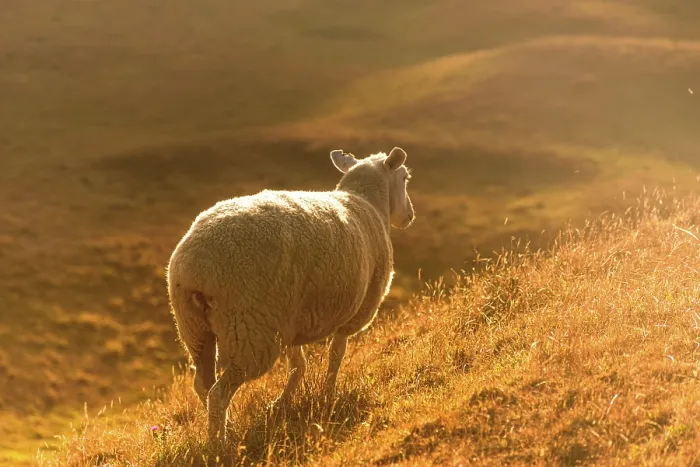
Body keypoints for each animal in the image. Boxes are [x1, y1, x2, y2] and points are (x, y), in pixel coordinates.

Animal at [166, 146, 415, 445]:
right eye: (405, 177)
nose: (410, 216)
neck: (366, 201)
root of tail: (196, 267)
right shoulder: (353, 312)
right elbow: (336, 354)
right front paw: (328, 392)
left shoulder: (293, 320)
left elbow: (298, 365)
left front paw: (281, 404)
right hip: (250, 331)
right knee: (218, 393)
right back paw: (220, 443)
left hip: (195, 328)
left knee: (202, 385)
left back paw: (228, 426)